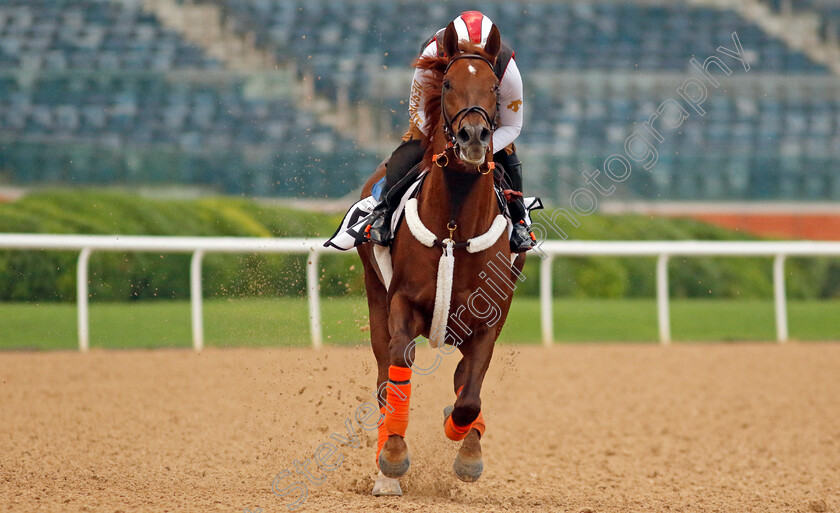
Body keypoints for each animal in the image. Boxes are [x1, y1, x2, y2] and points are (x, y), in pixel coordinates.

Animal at [356, 22, 524, 494]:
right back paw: (385, 472)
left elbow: (468, 397)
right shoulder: (402, 304)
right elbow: (398, 369)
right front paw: (393, 458)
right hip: (374, 293)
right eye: (447, 83)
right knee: (384, 379)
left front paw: (466, 449)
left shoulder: (489, 321)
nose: (473, 137)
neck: (454, 226)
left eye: (494, 88)